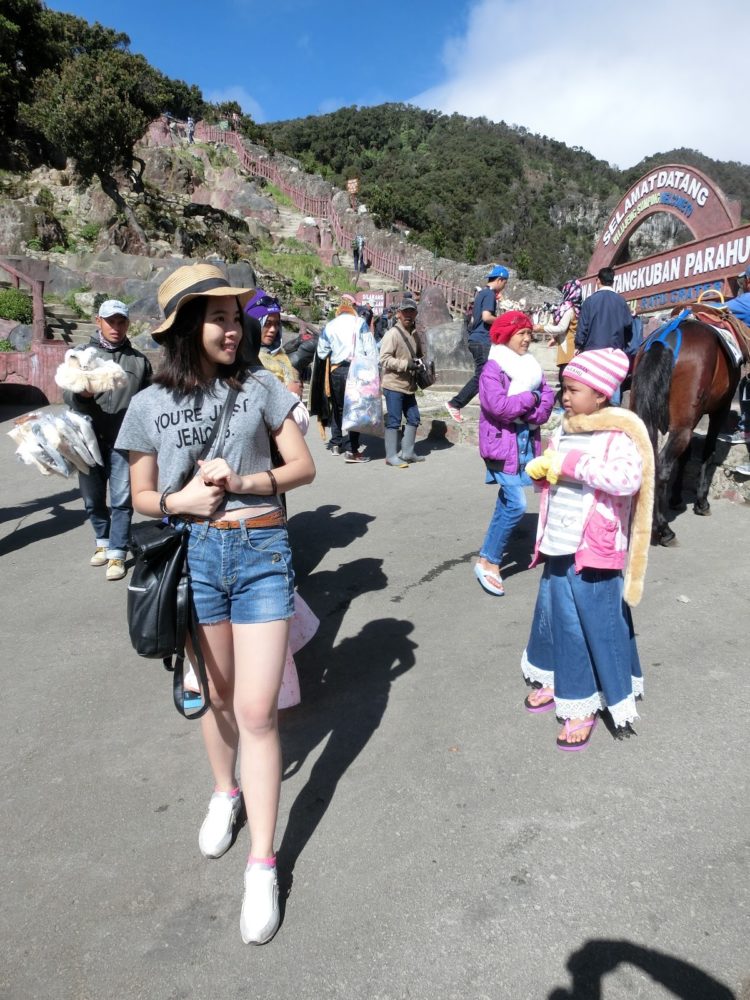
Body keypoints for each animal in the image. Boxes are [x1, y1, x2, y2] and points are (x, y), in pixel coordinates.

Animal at [632, 314, 744, 544]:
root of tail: (663, 341)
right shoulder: (721, 408)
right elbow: (708, 451)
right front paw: (701, 502)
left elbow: (686, 456)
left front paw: (676, 498)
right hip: (684, 424)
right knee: (662, 467)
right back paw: (663, 529)